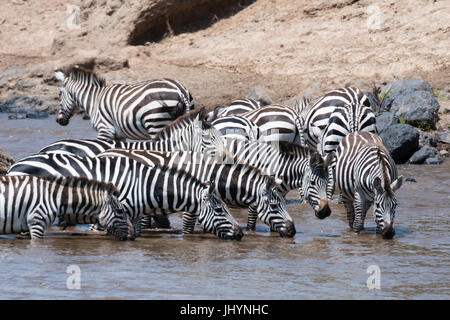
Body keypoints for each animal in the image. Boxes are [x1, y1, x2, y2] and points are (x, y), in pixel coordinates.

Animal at [53, 65, 194, 141]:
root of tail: (180, 90)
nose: (58, 121)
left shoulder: (105, 130)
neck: (94, 99)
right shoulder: (119, 135)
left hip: (156, 124)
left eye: (59, 94)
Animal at [96, 149, 298, 236]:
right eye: (274, 206)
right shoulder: (191, 206)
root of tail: (102, 153)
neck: (214, 175)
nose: (293, 231)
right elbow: (188, 230)